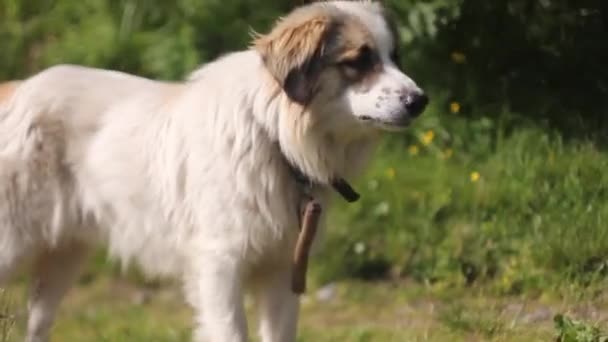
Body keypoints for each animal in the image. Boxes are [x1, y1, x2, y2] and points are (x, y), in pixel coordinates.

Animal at [0, 1, 428, 340]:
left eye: (395, 57)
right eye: (359, 61)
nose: (420, 101)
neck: (272, 133)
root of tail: (18, 90)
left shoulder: (282, 272)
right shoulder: (220, 268)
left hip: (63, 256)